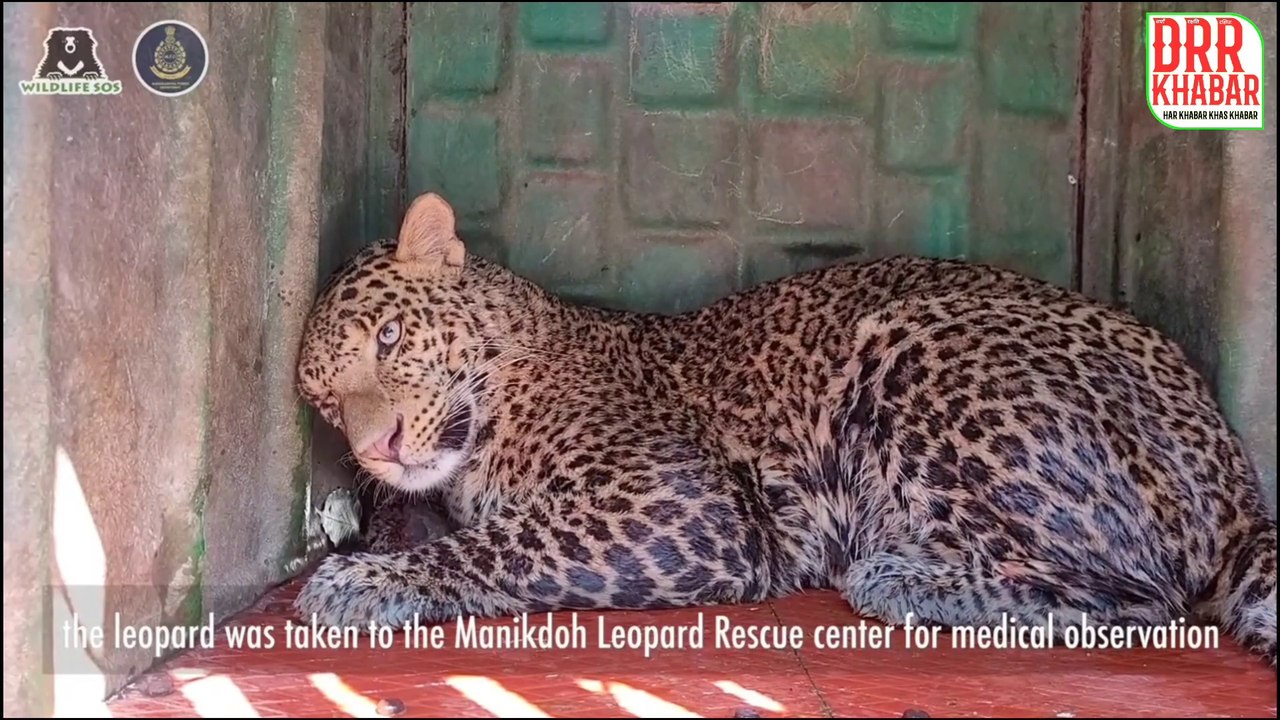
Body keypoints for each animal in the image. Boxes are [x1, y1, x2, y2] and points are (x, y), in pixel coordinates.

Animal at [294, 191, 1276, 667]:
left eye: (390, 338)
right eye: (326, 404)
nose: (376, 447)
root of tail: (1233, 470)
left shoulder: (684, 508)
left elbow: (503, 542)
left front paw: (363, 581)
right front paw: (385, 531)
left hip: (917, 341)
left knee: (1143, 598)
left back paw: (900, 578)